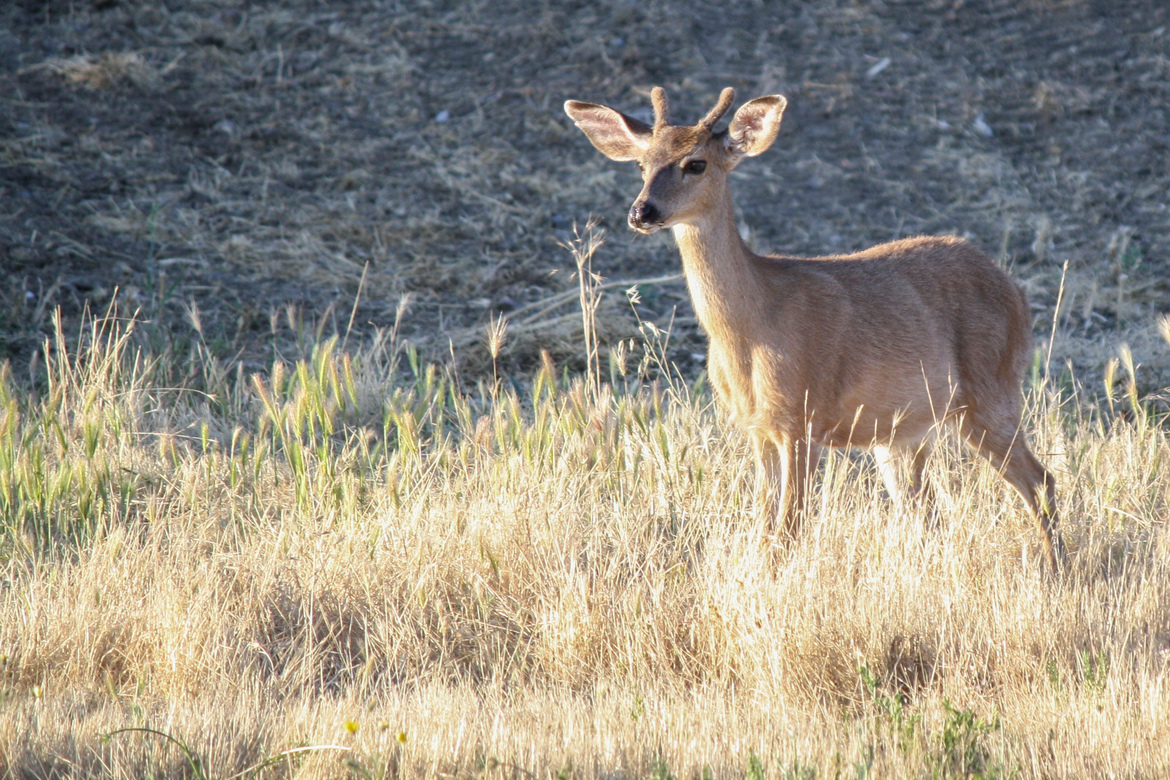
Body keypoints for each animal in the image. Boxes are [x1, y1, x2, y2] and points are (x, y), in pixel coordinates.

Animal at [564, 87, 1067, 571]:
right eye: (641, 164)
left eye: (696, 163)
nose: (641, 212)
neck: (751, 328)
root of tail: (1016, 291)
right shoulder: (758, 426)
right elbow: (763, 525)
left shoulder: (802, 417)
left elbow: (789, 529)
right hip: (904, 431)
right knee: (925, 510)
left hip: (990, 391)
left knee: (1040, 480)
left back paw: (1058, 571)